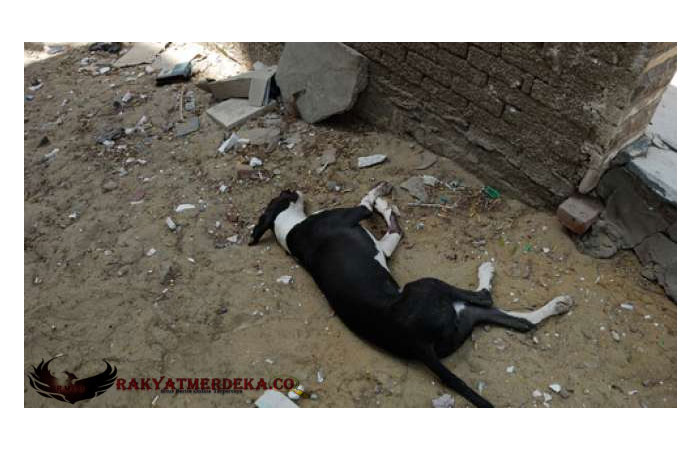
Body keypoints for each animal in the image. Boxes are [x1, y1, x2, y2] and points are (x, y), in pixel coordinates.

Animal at [249, 183, 572, 408]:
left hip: (462, 317)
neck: (289, 229)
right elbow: (368, 203)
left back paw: (556, 305)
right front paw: (379, 193)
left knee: (522, 323)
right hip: (429, 285)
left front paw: (385, 202)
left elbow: (393, 225)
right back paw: (488, 272)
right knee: (485, 298)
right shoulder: (356, 215)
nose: (290, 187)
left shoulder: (385, 245)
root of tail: (418, 344)